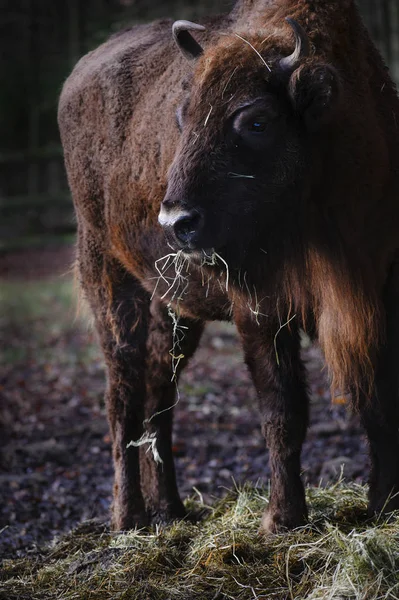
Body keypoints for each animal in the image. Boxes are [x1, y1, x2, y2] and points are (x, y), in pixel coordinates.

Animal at [57, 0, 399, 536]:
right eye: (182, 118)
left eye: (257, 121)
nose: (176, 221)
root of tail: (78, 76)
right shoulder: (261, 311)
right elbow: (283, 410)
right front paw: (283, 519)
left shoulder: (378, 294)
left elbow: (379, 400)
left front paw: (384, 504)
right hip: (108, 277)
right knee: (123, 394)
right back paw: (129, 519)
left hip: (174, 307)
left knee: (159, 394)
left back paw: (172, 509)